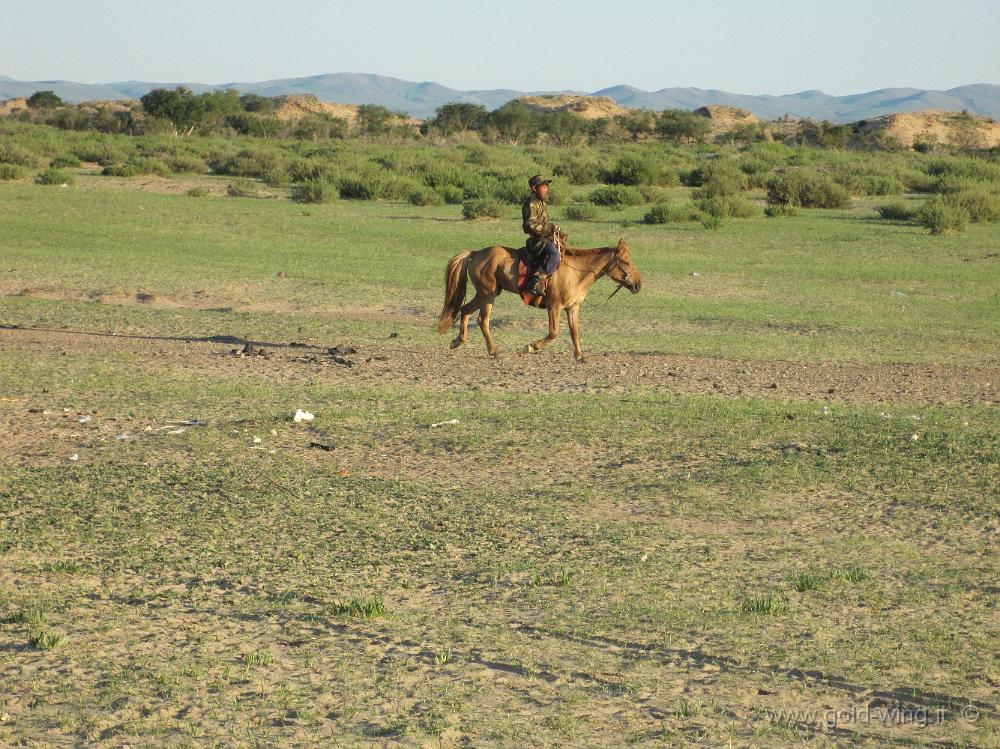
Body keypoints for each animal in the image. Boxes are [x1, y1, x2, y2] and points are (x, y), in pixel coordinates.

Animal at [436, 237, 640, 360]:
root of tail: (476, 253)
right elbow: (553, 333)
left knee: (464, 310)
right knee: (482, 320)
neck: (576, 272)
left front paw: (580, 356)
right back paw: (493, 351)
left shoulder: (572, 307)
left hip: (483, 294)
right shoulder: (554, 306)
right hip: (488, 295)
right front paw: (531, 347)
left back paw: (458, 341)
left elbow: (574, 332)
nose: (638, 284)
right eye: (627, 262)